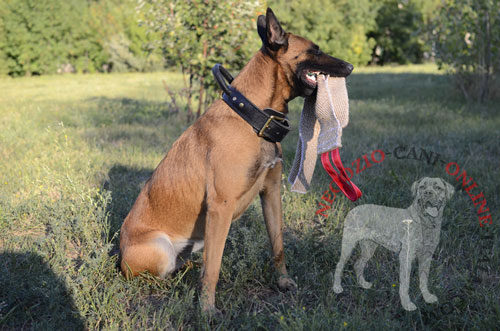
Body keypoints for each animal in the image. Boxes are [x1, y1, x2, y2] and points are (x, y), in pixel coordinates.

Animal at [119, 7, 354, 314]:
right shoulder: (221, 207)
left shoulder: (271, 193)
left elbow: (278, 247)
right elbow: (214, 267)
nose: (350, 67)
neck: (253, 118)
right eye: (314, 50)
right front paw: (207, 309)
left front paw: (283, 281)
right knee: (160, 274)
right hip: (161, 249)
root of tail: (118, 253)